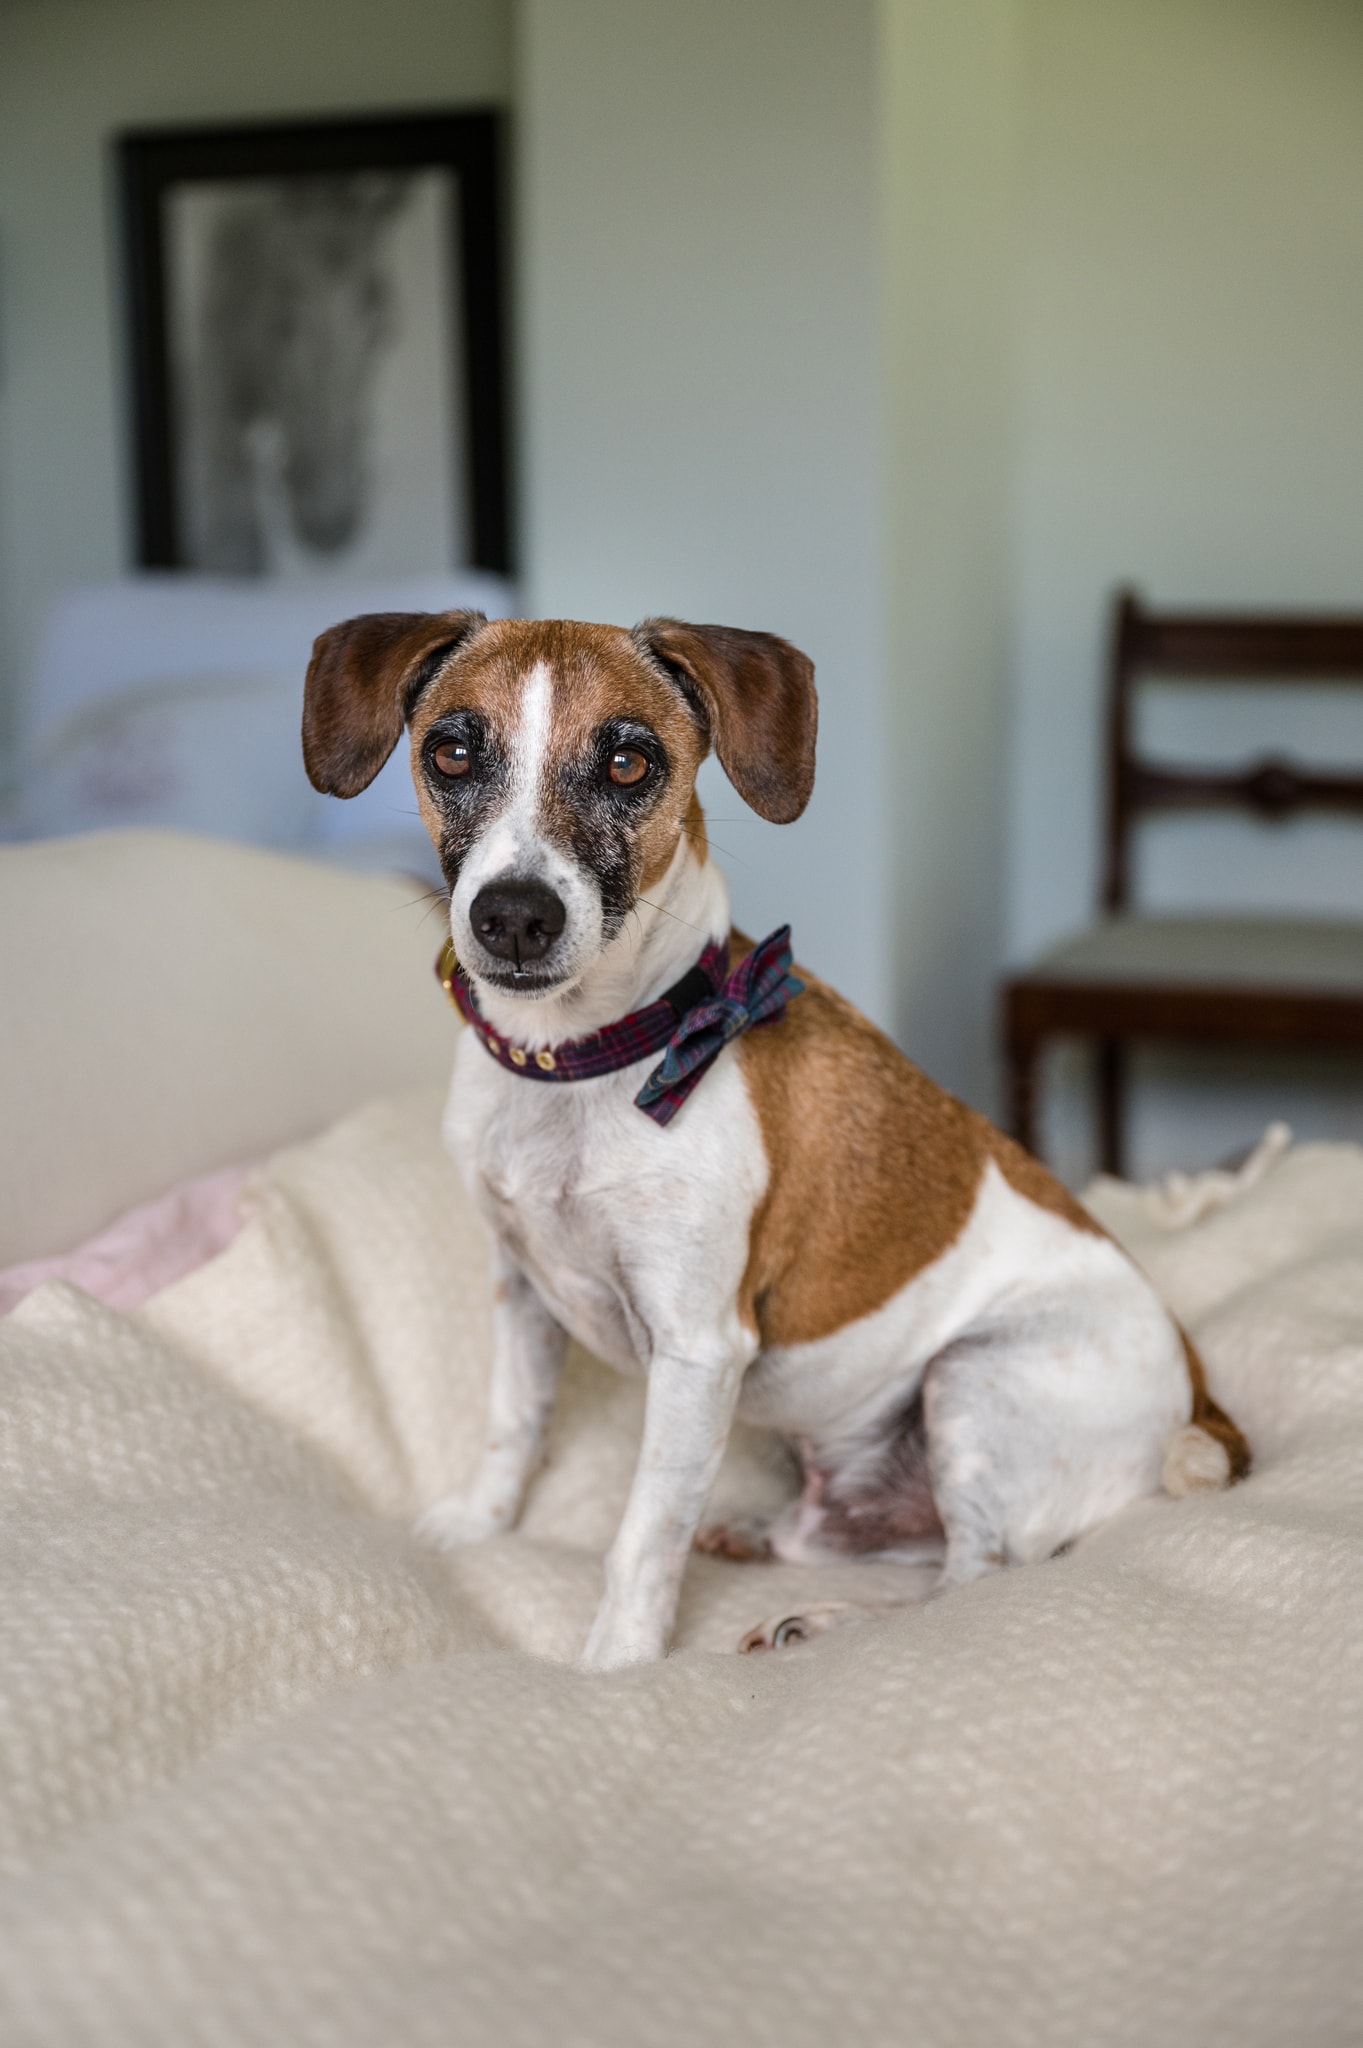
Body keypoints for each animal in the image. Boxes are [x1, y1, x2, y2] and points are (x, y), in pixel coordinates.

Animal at [302, 606, 1244, 1662]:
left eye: (628, 764)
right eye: (452, 751)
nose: (512, 917)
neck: (588, 1062)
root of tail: (1195, 1380)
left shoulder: (697, 1350)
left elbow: (643, 1535)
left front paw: (615, 1665)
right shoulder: (521, 1294)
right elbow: (513, 1429)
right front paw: (474, 1526)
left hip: (971, 1380)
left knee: (974, 1579)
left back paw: (828, 1622)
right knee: (844, 1538)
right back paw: (758, 1540)